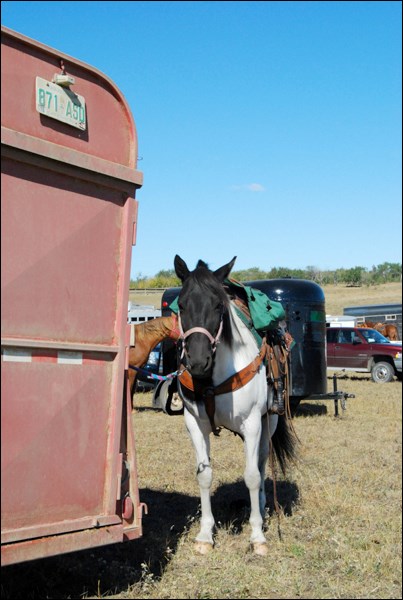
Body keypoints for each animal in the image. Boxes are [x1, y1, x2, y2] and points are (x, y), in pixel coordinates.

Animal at [174, 255, 296, 556]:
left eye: (218, 305)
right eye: (181, 305)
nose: (197, 361)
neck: (211, 378)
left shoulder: (252, 424)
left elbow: (252, 476)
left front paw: (257, 536)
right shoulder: (195, 425)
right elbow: (204, 476)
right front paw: (205, 535)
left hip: (268, 423)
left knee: (262, 463)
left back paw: (261, 510)